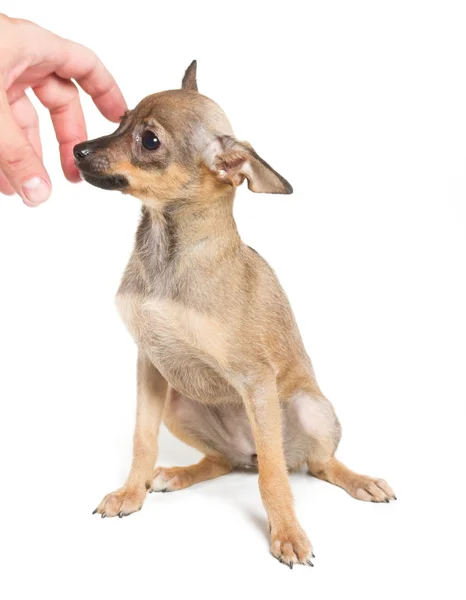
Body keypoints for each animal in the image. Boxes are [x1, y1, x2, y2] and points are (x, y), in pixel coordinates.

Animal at [74, 61, 396, 568]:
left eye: (149, 140)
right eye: (120, 120)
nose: (77, 149)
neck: (166, 252)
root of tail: (248, 451)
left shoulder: (255, 379)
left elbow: (274, 479)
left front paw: (286, 533)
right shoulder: (150, 365)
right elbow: (142, 439)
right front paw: (130, 492)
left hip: (310, 409)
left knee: (311, 464)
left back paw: (359, 480)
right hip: (179, 404)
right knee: (227, 461)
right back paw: (178, 473)